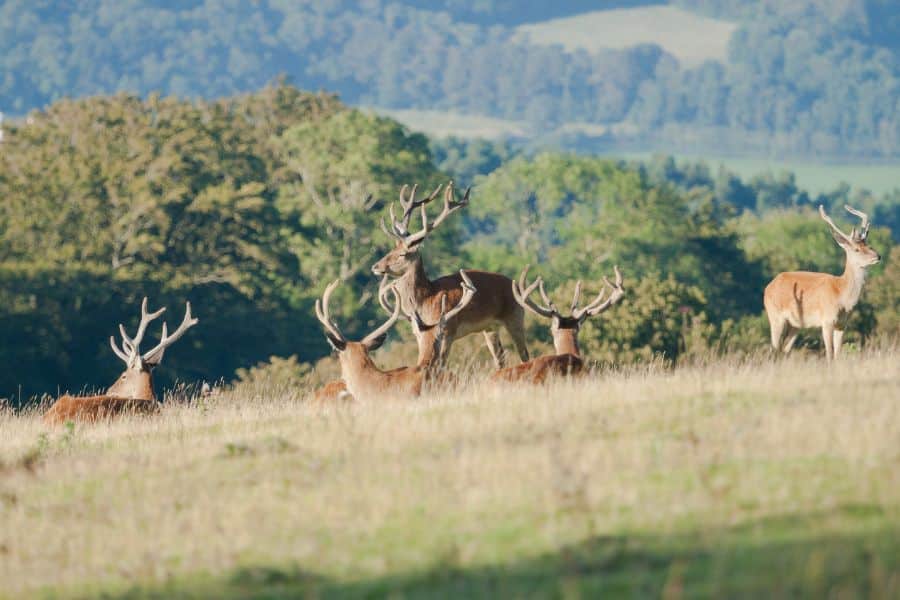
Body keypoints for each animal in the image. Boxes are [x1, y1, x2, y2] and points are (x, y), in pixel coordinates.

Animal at [370, 182, 532, 370]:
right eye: (391, 249)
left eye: (402, 254)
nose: (375, 267)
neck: (426, 301)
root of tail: (516, 286)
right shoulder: (419, 332)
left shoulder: (448, 330)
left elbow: (441, 362)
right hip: (490, 328)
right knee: (500, 359)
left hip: (515, 317)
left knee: (524, 354)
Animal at [764, 204, 884, 358]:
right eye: (857, 249)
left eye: (869, 245)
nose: (878, 256)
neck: (842, 296)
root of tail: (768, 287)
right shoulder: (827, 320)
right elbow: (830, 354)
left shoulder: (842, 324)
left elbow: (837, 354)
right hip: (775, 316)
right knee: (773, 349)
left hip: (796, 324)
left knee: (784, 349)